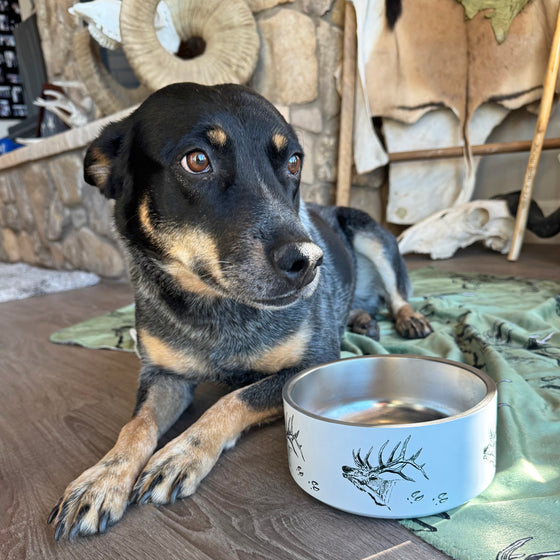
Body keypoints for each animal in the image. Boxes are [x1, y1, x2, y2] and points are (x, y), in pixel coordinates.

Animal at [48, 82, 434, 540]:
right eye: (197, 160)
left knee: (398, 292)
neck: (215, 309)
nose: (309, 260)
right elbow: (136, 425)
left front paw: (182, 452)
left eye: (294, 162)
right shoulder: (163, 375)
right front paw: (103, 477)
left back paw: (407, 319)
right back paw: (360, 319)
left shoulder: (312, 362)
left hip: (370, 233)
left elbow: (235, 398)